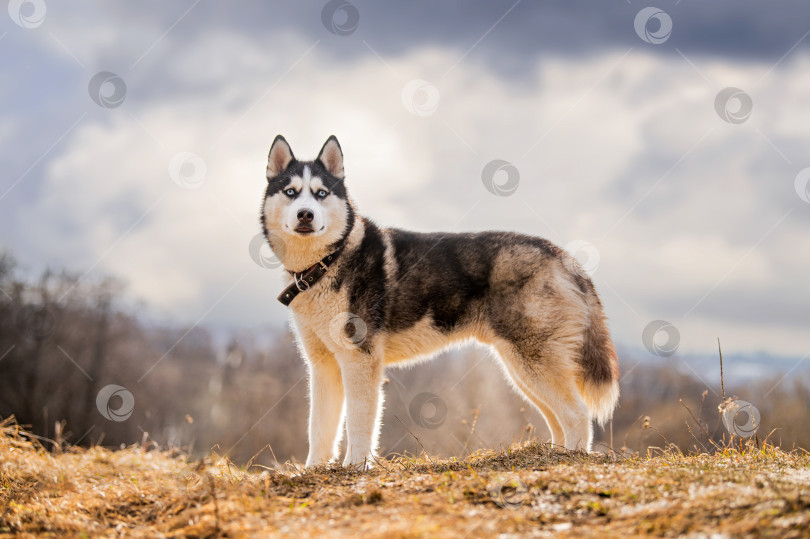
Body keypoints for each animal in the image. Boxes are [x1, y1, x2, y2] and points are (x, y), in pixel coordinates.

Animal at [258, 136, 620, 468]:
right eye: (290, 192)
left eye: (321, 193)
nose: (306, 214)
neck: (326, 262)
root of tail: (563, 256)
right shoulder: (323, 366)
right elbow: (319, 428)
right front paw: (313, 471)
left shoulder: (360, 361)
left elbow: (359, 424)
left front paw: (356, 468)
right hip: (522, 370)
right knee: (559, 418)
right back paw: (553, 455)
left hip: (532, 363)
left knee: (578, 414)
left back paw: (571, 458)